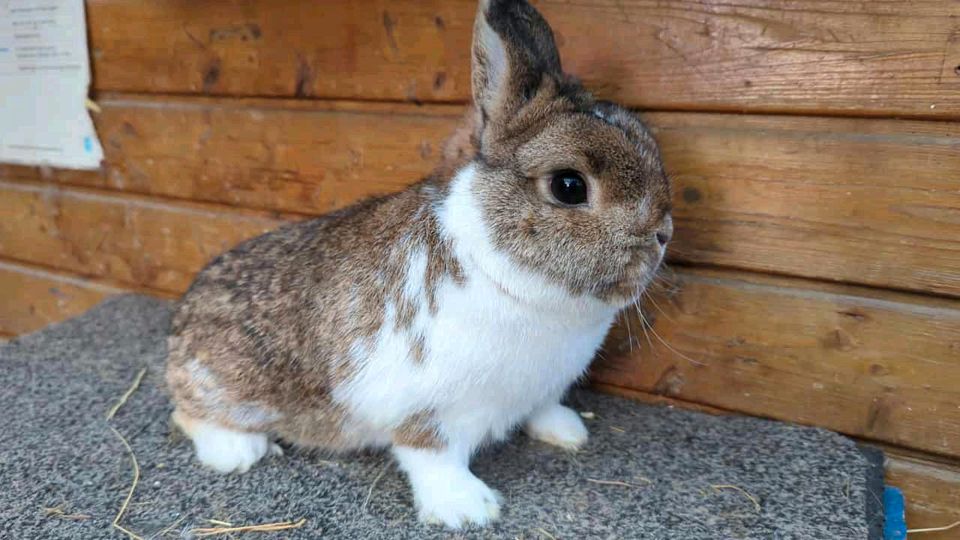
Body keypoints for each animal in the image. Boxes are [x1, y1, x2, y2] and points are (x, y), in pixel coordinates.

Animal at [165, 0, 672, 528]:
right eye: (569, 186)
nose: (663, 234)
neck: (508, 276)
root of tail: (181, 324)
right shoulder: (424, 409)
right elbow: (432, 456)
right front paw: (469, 509)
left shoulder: (541, 390)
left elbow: (543, 409)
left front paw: (568, 432)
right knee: (186, 412)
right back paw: (238, 452)